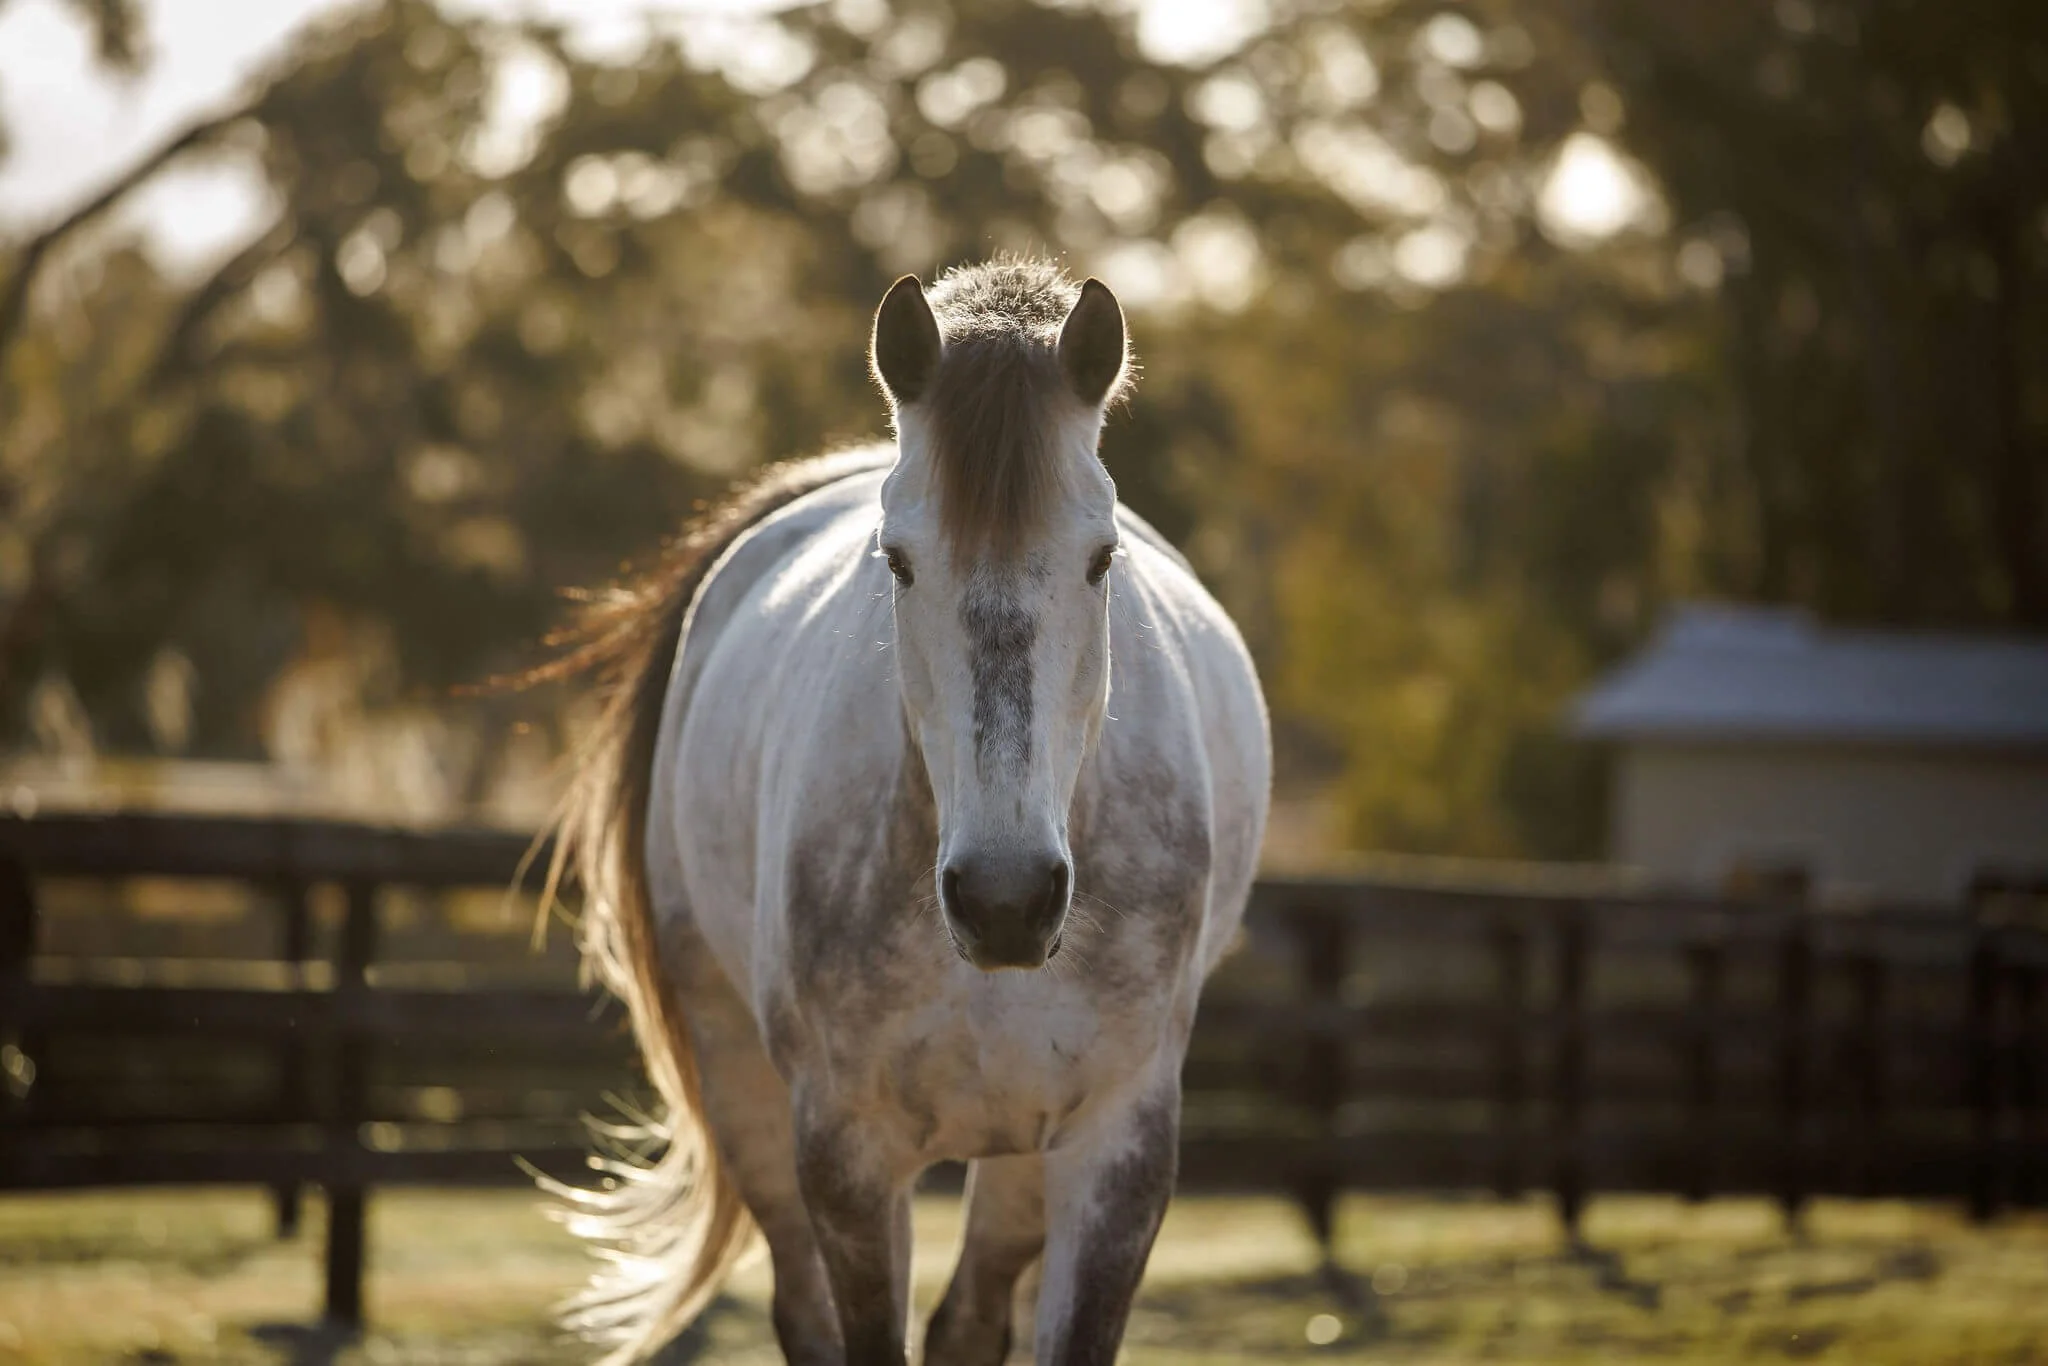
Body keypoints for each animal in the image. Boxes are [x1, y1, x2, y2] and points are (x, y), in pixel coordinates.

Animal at [539, 259, 1270, 1366]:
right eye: (898, 560)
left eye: (1100, 557)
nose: (1007, 900)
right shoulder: (845, 1156)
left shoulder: (1118, 1152)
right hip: (743, 1086)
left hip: (1020, 1159)